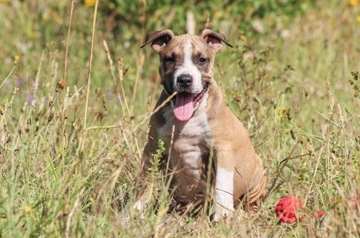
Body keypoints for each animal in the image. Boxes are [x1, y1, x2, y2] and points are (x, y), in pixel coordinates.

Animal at [138, 29, 268, 221]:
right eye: (170, 59)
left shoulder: (222, 148)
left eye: (202, 60)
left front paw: (222, 216)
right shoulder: (153, 148)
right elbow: (144, 182)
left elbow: (222, 184)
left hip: (257, 175)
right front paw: (131, 212)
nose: (185, 80)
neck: (187, 119)